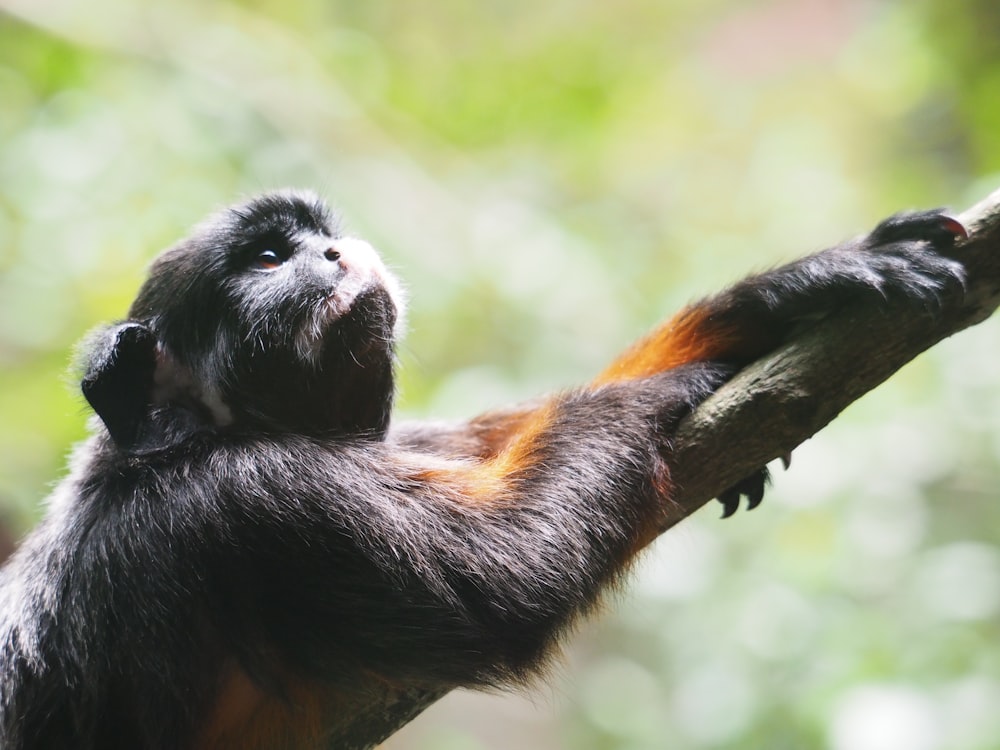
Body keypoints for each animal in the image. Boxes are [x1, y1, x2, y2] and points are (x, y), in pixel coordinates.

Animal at [0, 189, 968, 750]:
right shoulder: (248, 500)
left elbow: (488, 446)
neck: (203, 432)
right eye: (272, 259)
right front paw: (666, 388)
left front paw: (771, 303)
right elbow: (511, 584)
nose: (335, 253)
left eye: (319, 239)